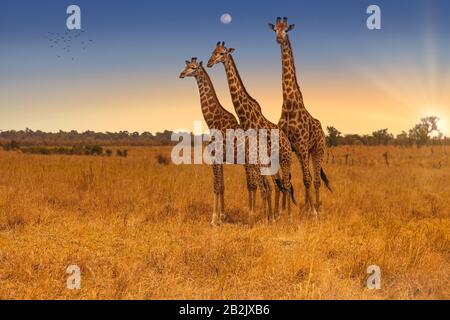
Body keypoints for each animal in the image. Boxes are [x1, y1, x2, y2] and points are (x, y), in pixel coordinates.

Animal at [178, 58, 258, 228]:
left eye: (193, 68)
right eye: (186, 66)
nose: (181, 74)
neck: (212, 121)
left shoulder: (215, 157)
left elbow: (215, 187)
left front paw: (214, 219)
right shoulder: (219, 159)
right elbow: (221, 186)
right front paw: (222, 216)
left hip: (249, 162)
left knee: (253, 184)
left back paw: (252, 215)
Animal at [207, 42, 298, 222]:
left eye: (222, 53)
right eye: (213, 52)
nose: (209, 62)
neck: (246, 117)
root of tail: (286, 140)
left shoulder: (255, 159)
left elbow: (259, 186)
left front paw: (260, 217)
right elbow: (260, 186)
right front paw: (263, 217)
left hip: (285, 160)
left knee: (285, 184)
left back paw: (287, 216)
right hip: (273, 162)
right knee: (280, 185)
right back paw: (278, 215)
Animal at [268, 17, 332, 218]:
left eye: (286, 29)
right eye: (275, 29)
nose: (279, 38)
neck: (289, 104)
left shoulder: (302, 145)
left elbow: (306, 179)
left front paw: (312, 211)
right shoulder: (288, 146)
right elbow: (286, 179)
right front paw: (282, 211)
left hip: (317, 149)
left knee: (315, 178)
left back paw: (316, 207)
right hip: (303, 152)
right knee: (310, 176)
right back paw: (305, 206)